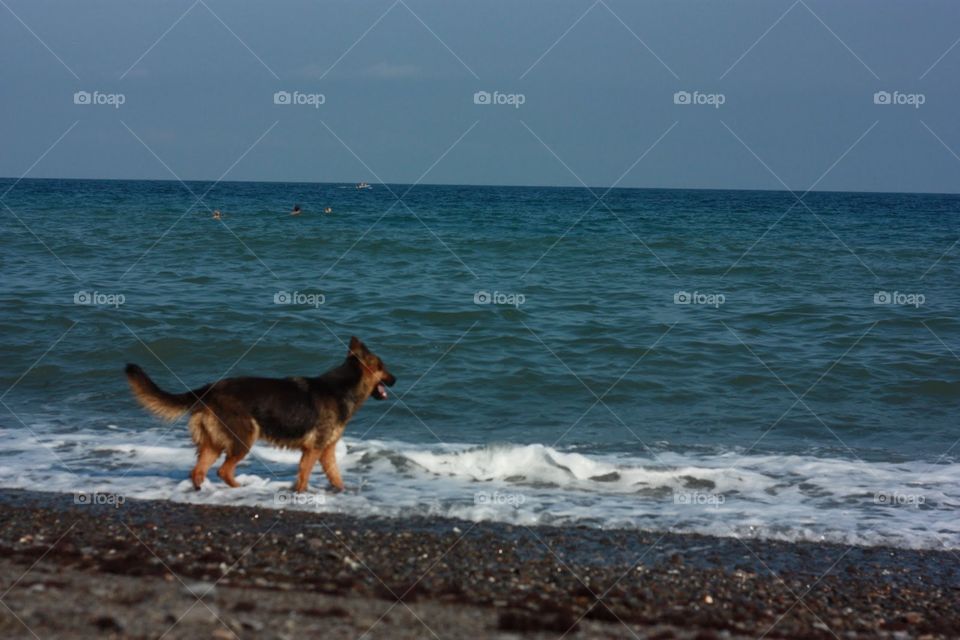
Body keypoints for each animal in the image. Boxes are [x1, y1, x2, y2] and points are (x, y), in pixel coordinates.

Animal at [125, 338, 396, 492]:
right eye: (383, 368)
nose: (397, 379)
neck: (344, 387)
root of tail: (210, 388)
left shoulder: (326, 450)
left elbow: (335, 475)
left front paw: (340, 490)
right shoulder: (314, 449)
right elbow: (305, 474)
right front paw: (301, 494)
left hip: (215, 443)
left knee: (198, 471)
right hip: (244, 438)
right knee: (223, 471)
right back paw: (239, 488)